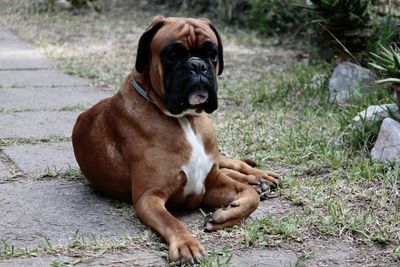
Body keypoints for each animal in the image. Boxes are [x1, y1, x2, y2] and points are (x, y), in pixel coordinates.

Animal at [72, 16, 278, 266]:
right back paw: (259, 182)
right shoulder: (150, 198)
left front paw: (225, 215)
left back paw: (260, 177)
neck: (185, 119)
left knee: (233, 164)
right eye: (172, 54)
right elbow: (172, 221)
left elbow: (249, 198)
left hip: (218, 160)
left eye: (212, 53)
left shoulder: (211, 183)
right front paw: (186, 245)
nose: (197, 65)